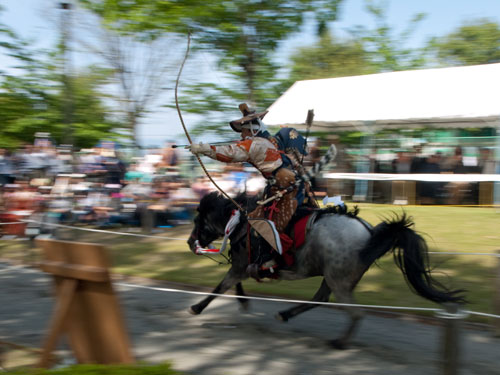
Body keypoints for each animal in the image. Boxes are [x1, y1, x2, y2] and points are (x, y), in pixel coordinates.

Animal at [188, 194, 464, 350]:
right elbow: (232, 284)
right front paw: (243, 302)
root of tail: (370, 233)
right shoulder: (242, 265)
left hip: (338, 280)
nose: (191, 243)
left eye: (197, 221)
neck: (242, 223)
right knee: (320, 299)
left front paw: (197, 307)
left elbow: (221, 286)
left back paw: (340, 342)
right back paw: (286, 314)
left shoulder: (240, 266)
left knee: (355, 312)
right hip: (334, 277)